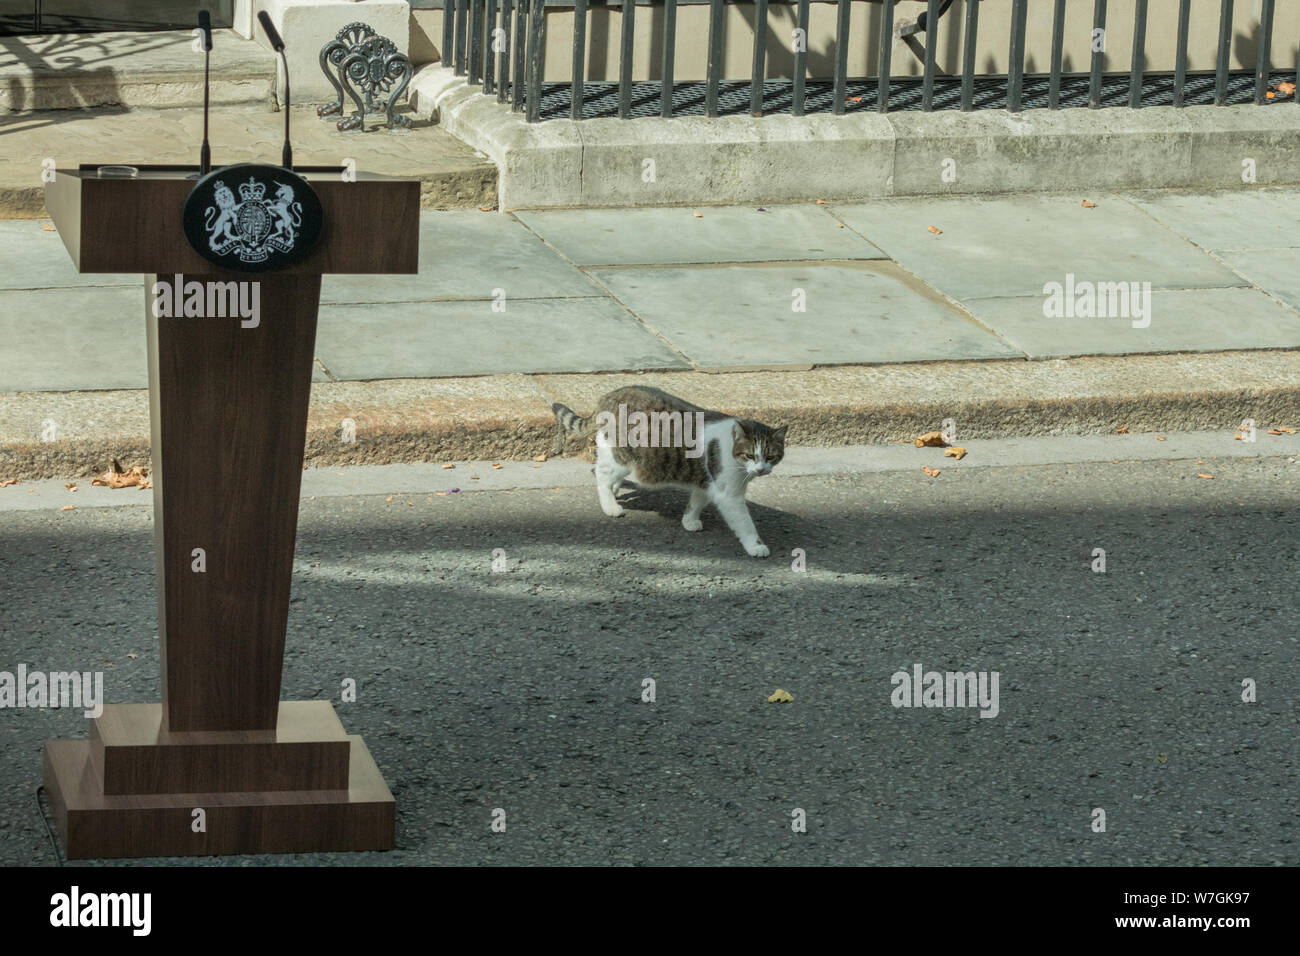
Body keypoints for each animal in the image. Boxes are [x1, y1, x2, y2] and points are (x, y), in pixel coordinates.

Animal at [546, 385, 780, 556]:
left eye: (771, 457)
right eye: (750, 455)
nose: (761, 469)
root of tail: (610, 395)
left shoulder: (706, 481)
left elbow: (696, 502)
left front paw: (689, 520)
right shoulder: (729, 494)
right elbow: (745, 523)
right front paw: (755, 546)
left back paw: (615, 492)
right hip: (622, 457)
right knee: (601, 475)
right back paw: (610, 506)